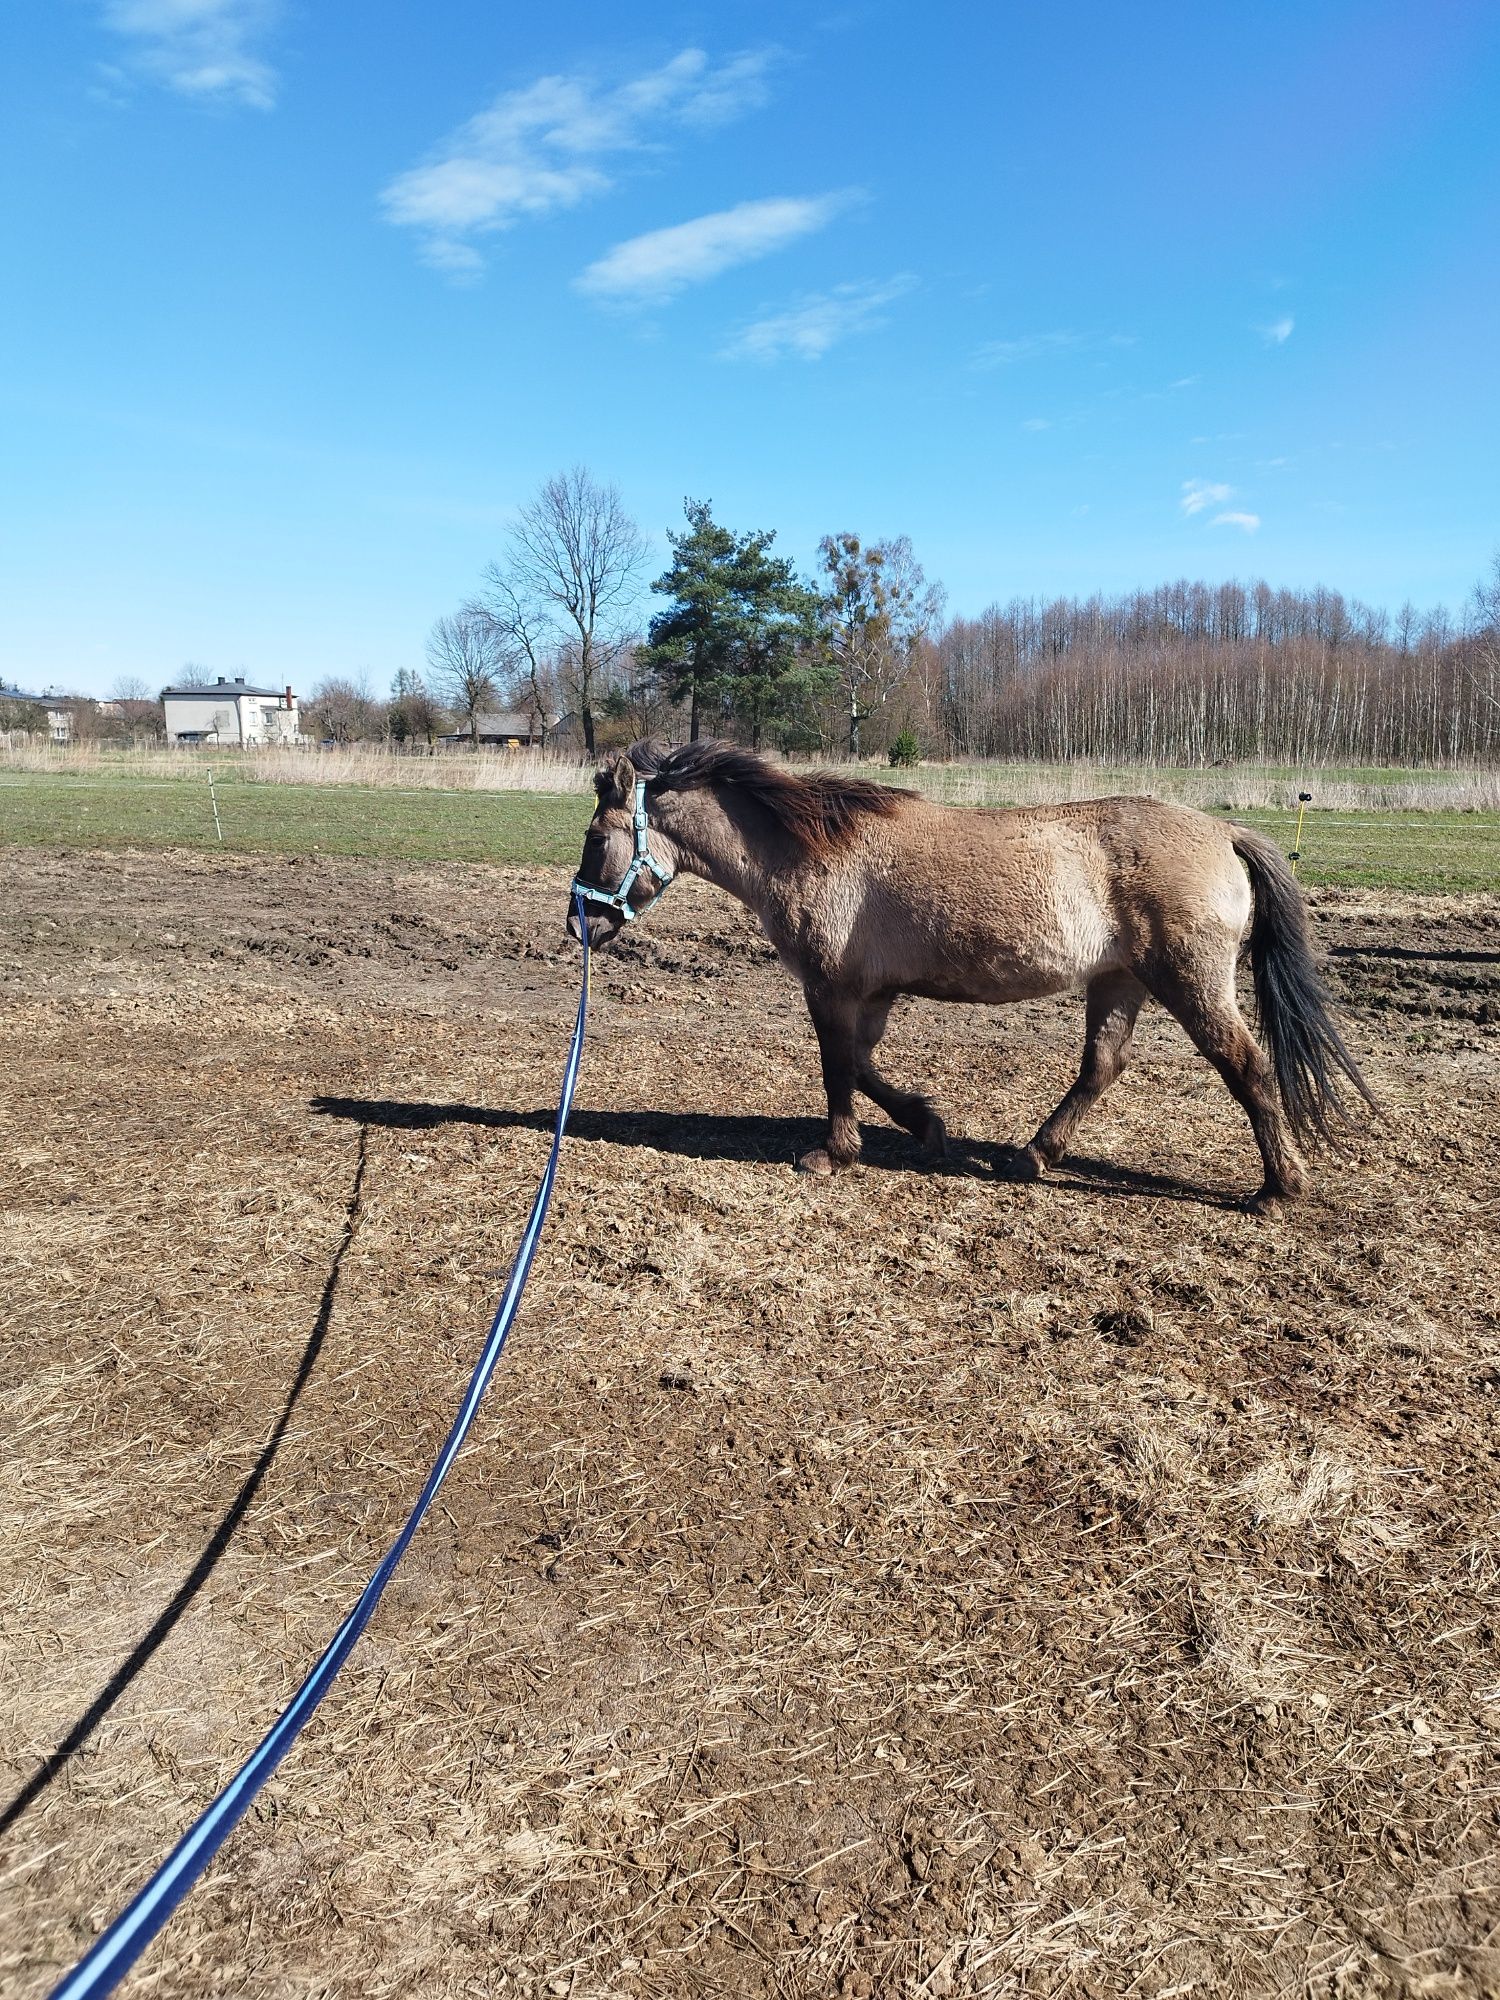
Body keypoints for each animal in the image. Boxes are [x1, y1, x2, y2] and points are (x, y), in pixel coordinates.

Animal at [568, 736, 1384, 1200]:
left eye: (596, 837)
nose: (580, 922)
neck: (809, 851)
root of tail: (1223, 831)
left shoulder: (831, 988)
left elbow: (837, 1069)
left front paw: (833, 1155)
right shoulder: (870, 994)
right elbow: (863, 1067)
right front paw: (926, 1125)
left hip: (1190, 983)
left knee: (1247, 1067)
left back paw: (1279, 1187)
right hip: (1120, 982)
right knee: (1100, 1068)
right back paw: (1031, 1157)